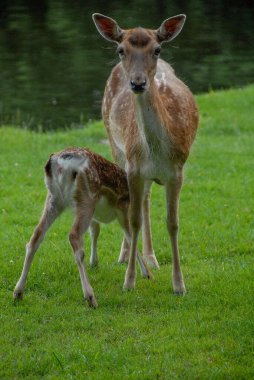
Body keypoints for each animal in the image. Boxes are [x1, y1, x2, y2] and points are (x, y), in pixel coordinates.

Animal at [92, 13, 199, 292]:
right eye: (121, 50)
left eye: (157, 49)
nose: (138, 83)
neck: (157, 151)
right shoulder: (134, 168)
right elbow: (134, 219)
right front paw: (129, 281)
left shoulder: (177, 171)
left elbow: (173, 223)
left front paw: (179, 284)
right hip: (114, 143)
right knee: (138, 205)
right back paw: (125, 255)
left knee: (148, 200)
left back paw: (151, 257)